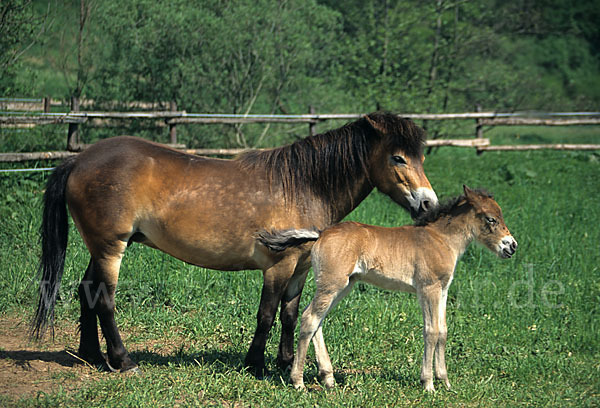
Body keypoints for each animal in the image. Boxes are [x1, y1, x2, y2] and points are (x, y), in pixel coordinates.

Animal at [31, 111, 436, 376]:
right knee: (105, 299)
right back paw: (123, 360)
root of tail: (78, 160)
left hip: (103, 246)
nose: (428, 204)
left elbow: (290, 315)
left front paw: (284, 363)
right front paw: (255, 365)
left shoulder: (300, 268)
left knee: (87, 290)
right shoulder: (278, 266)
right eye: (398, 157)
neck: (303, 184)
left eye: (420, 156)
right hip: (110, 247)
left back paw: (92, 356)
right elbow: (267, 314)